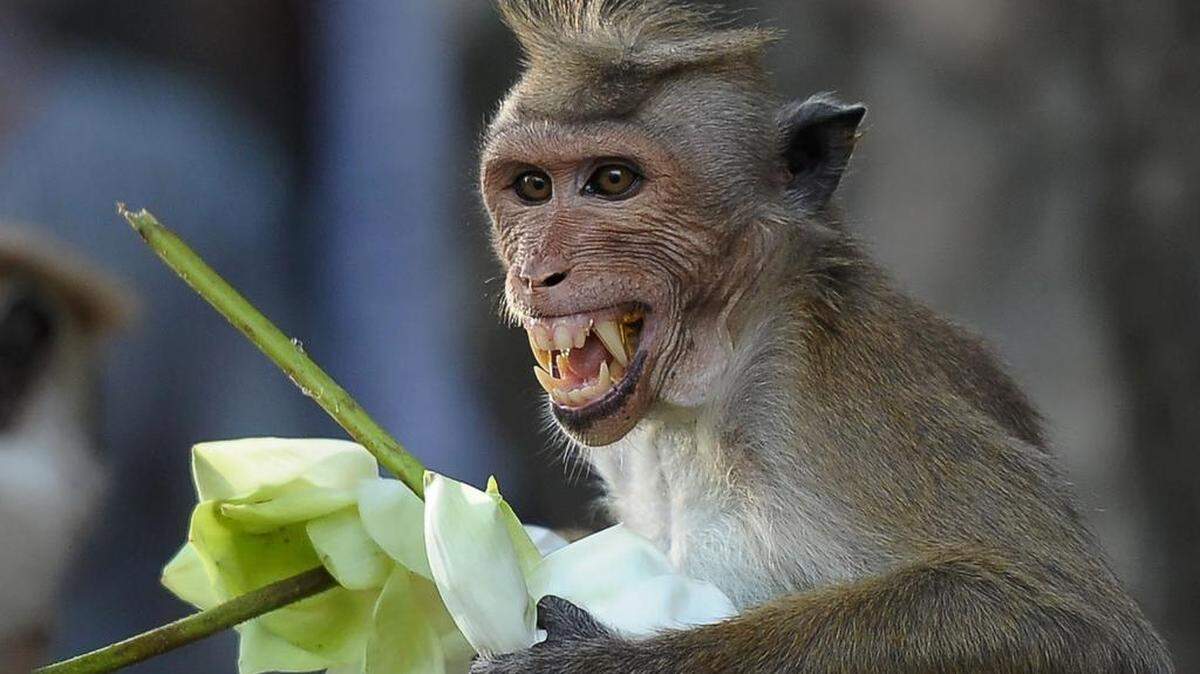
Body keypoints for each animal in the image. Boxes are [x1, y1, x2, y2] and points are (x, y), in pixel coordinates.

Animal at [471, 1, 1174, 672]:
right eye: (533, 185)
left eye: (613, 181)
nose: (535, 271)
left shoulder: (831, 404)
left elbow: (1080, 625)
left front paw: (583, 659)